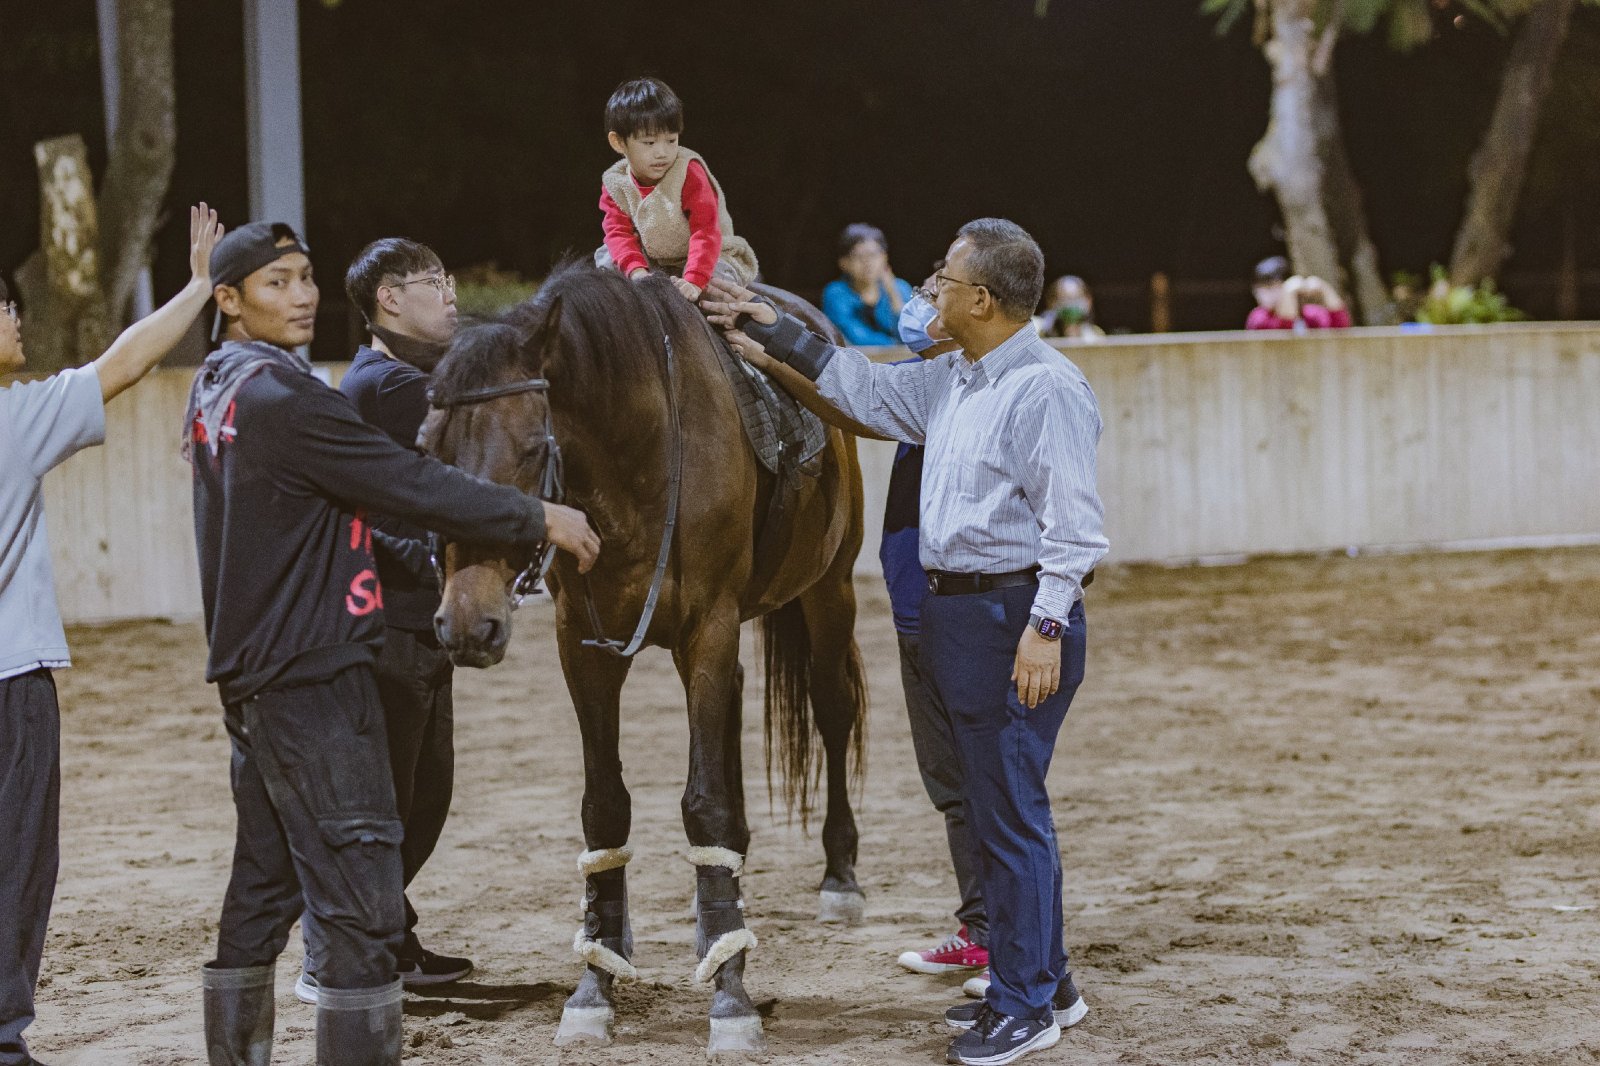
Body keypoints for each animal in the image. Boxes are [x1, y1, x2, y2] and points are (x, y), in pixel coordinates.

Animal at [418, 262, 869, 1054]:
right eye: (434, 451)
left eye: (530, 449)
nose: (467, 625)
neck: (640, 452)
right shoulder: (584, 646)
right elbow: (606, 808)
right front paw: (596, 979)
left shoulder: (709, 628)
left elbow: (704, 804)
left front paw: (731, 998)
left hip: (829, 589)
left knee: (832, 711)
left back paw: (838, 879)